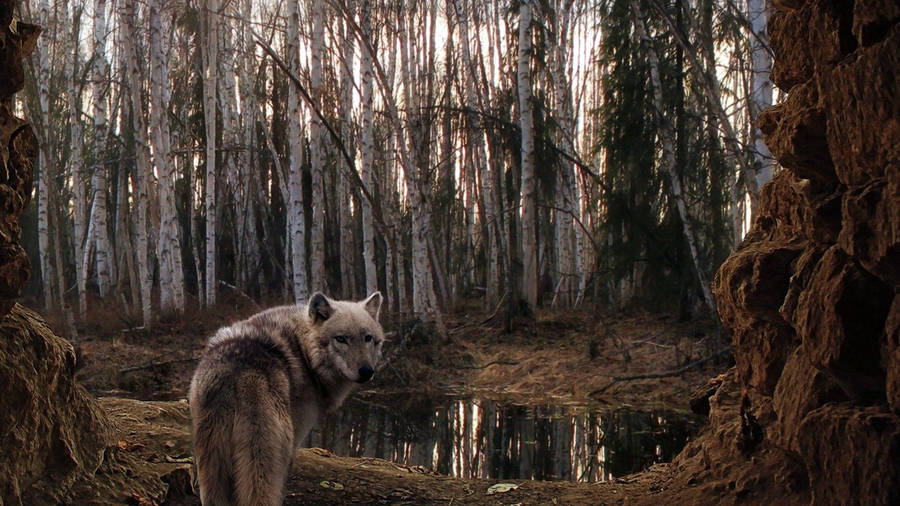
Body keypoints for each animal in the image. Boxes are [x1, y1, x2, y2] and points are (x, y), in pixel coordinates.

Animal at [188, 291, 385, 506]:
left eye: (368, 338)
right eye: (341, 339)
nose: (367, 371)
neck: (304, 352)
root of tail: (238, 373)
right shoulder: (296, 440)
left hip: (211, 466)